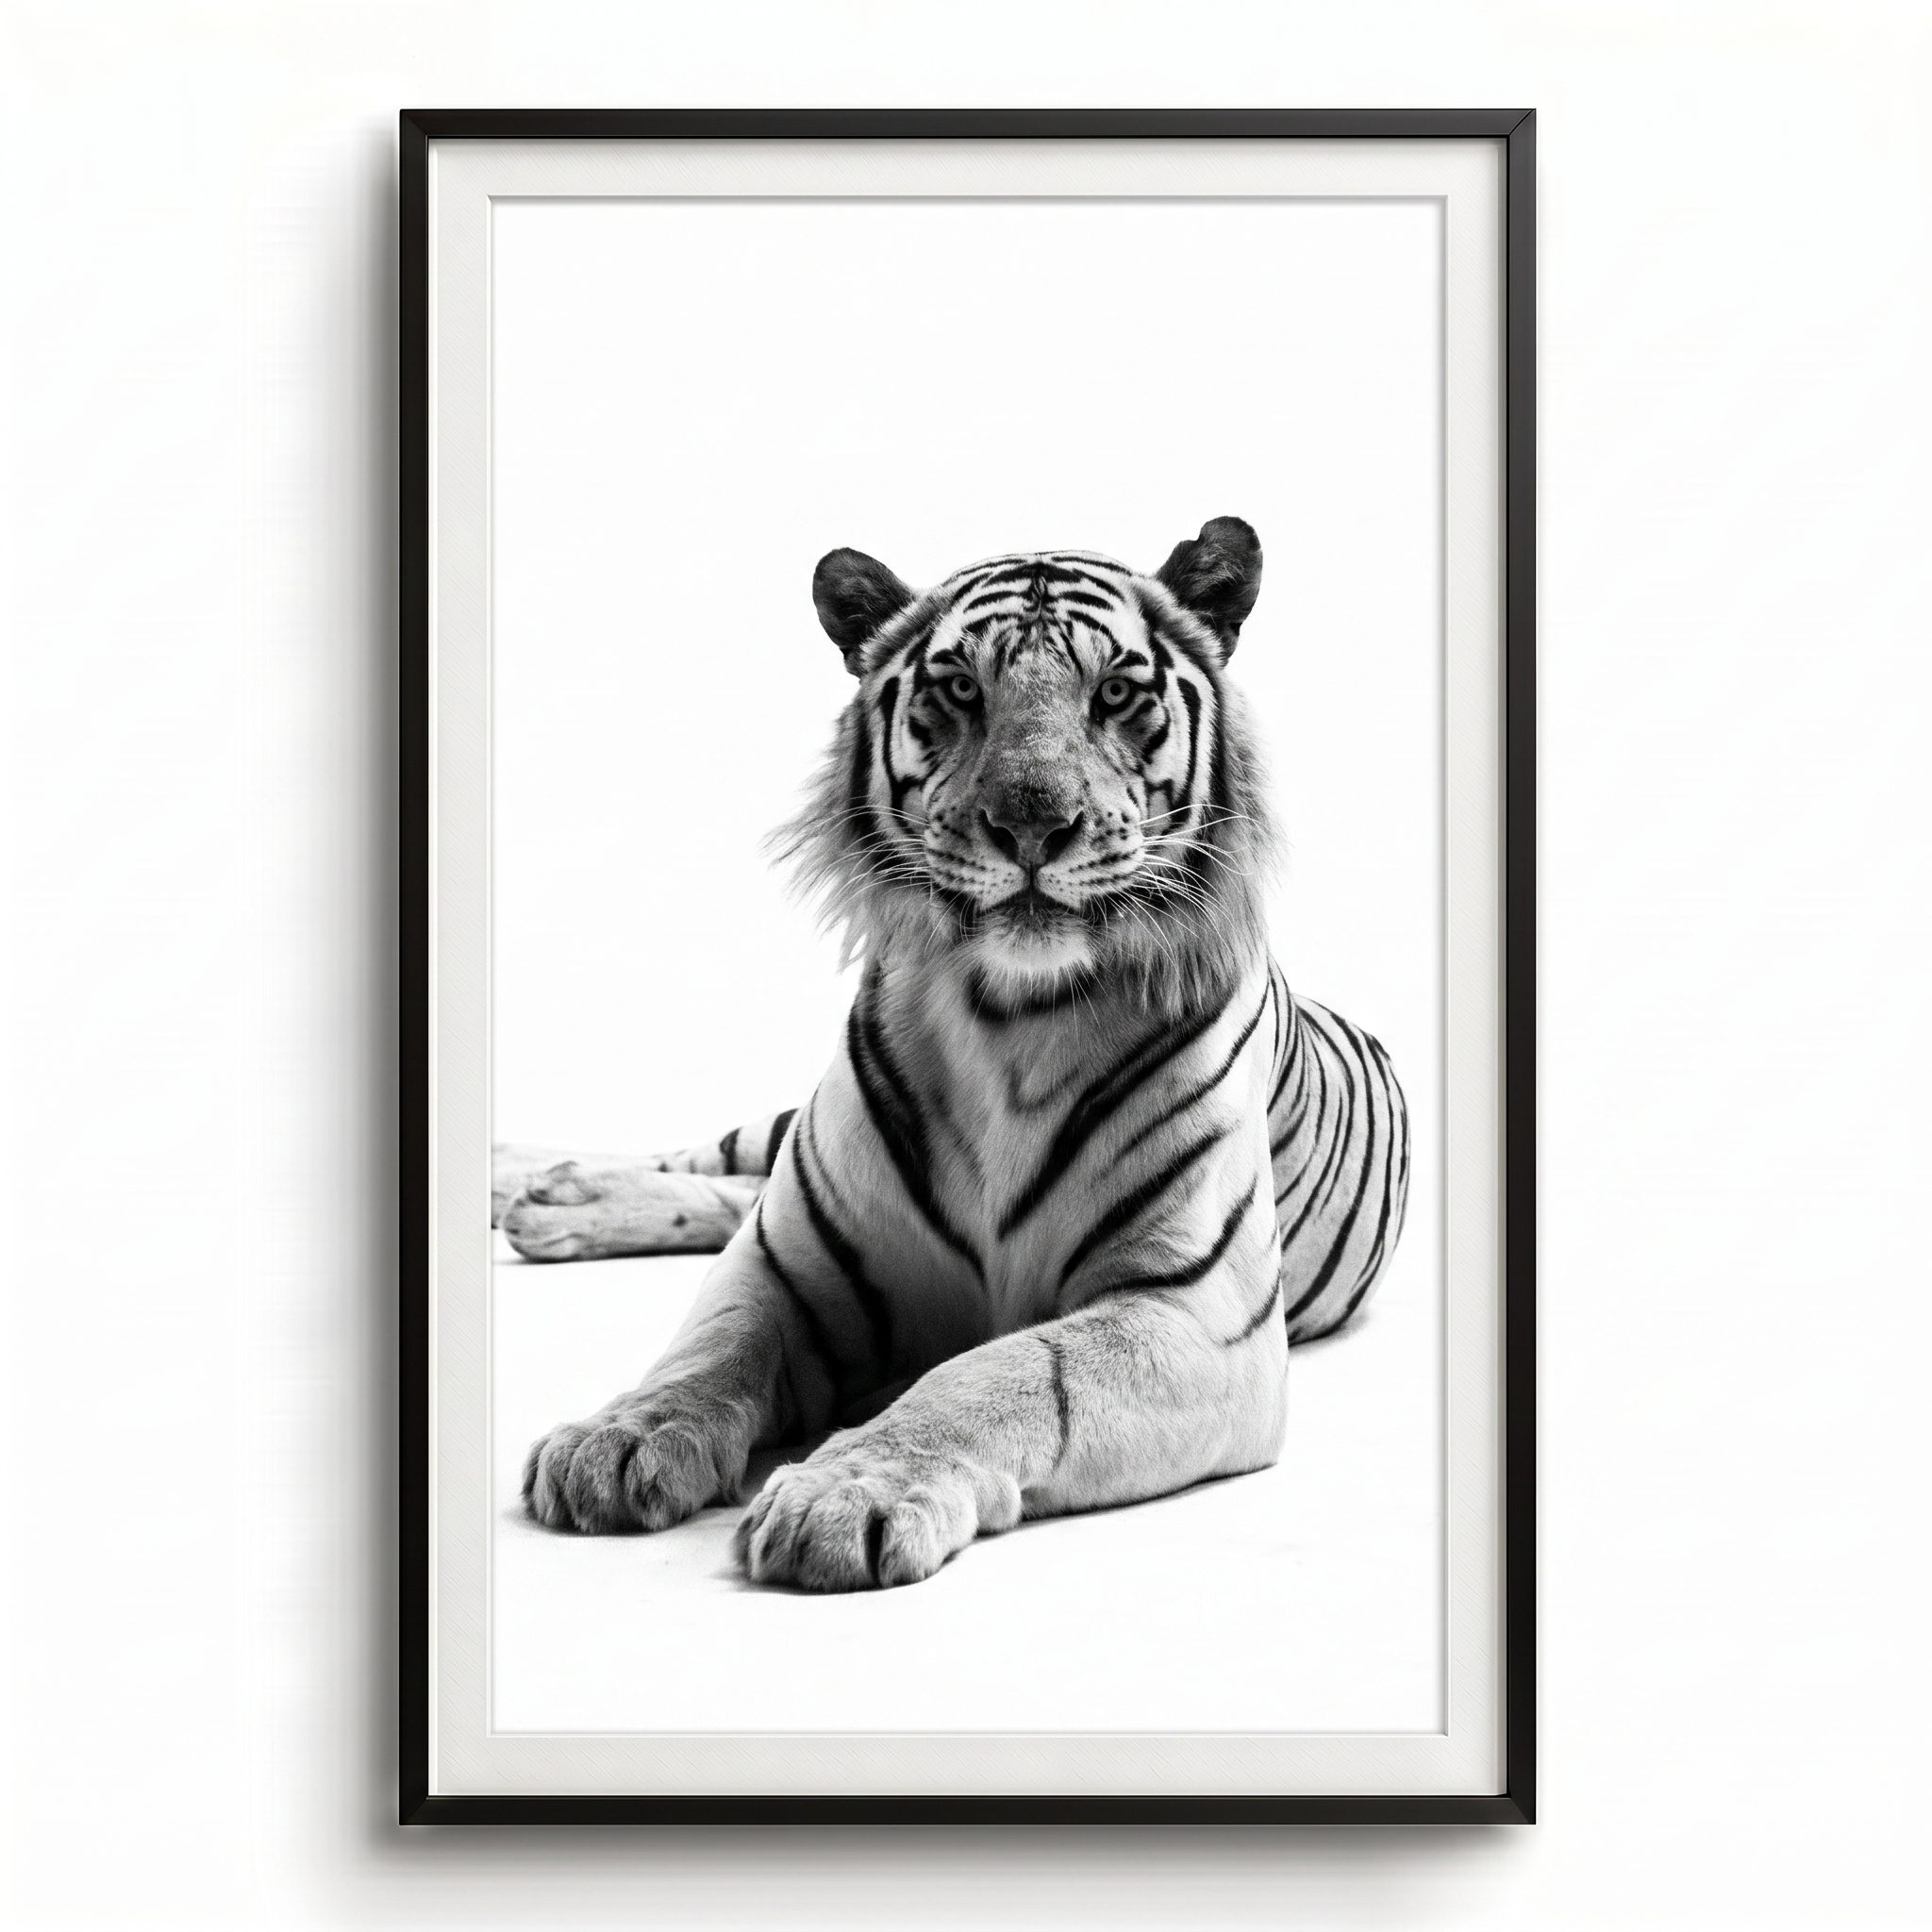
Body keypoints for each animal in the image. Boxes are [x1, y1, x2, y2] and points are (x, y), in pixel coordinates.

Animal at [500, 517, 1410, 1592]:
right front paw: (618, 1438)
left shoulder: (1189, 1311)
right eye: (962, 691)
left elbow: (999, 1373)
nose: (1031, 823)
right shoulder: (784, 1260)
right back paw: (533, 1183)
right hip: (776, 1140)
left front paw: (846, 1491)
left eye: (1114, 694)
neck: (1007, 1018)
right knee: (712, 1166)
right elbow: (707, 1348)